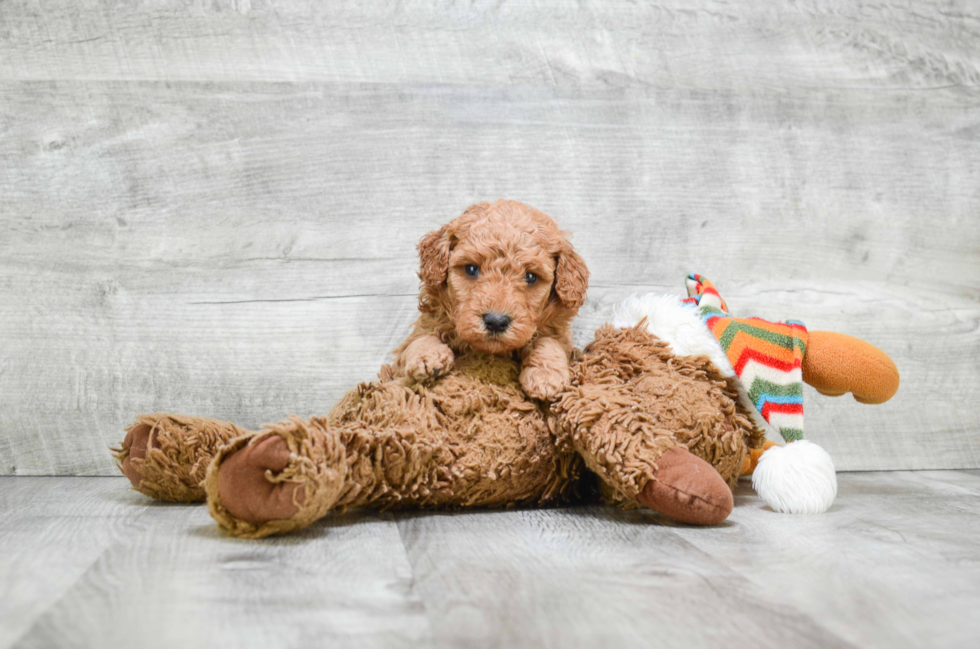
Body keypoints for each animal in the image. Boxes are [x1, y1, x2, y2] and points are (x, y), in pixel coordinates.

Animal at [392, 200, 588, 398]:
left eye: (531, 277)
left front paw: (545, 375)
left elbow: (549, 341)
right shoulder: (425, 325)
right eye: (471, 269)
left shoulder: (560, 333)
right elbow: (419, 339)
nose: (496, 322)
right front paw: (427, 357)